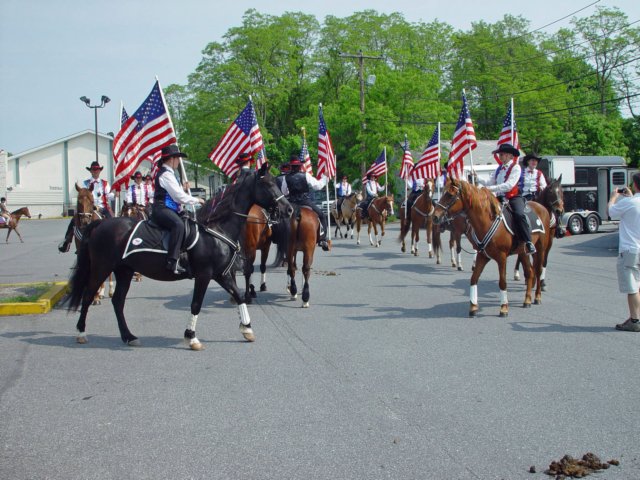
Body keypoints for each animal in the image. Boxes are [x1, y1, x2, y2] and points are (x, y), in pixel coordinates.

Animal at [65, 164, 292, 348]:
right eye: (268, 185)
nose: (288, 209)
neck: (216, 229)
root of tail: (99, 224)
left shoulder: (222, 274)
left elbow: (238, 295)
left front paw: (247, 329)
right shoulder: (204, 275)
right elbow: (196, 304)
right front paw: (191, 337)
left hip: (124, 271)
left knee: (118, 302)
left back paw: (129, 336)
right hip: (101, 268)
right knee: (88, 295)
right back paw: (81, 333)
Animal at [432, 178, 552, 316]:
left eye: (450, 195)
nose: (435, 216)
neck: (487, 222)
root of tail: (542, 207)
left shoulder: (502, 257)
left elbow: (502, 282)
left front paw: (504, 308)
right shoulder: (482, 256)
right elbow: (474, 278)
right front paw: (473, 307)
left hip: (540, 248)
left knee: (538, 271)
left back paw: (537, 297)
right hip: (523, 252)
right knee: (530, 273)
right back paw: (527, 300)